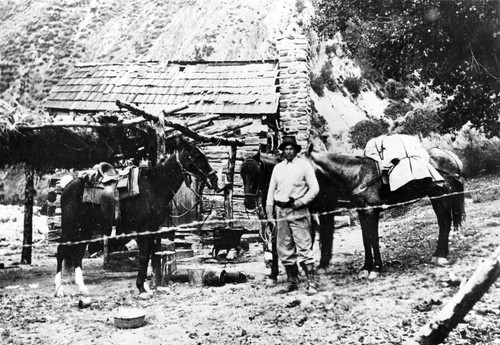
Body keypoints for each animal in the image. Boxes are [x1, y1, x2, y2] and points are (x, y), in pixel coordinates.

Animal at [55, 139, 218, 296]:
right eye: (197, 156)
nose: (214, 178)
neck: (155, 186)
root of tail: (68, 186)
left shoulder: (152, 230)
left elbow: (148, 257)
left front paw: (145, 287)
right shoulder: (144, 230)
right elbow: (144, 256)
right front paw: (141, 288)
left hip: (85, 227)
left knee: (78, 252)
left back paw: (82, 288)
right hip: (70, 225)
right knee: (61, 250)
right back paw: (59, 289)